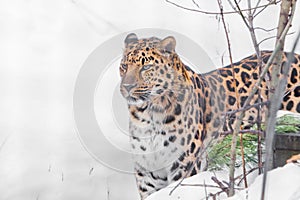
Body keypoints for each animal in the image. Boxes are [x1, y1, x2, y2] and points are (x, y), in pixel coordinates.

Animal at [118, 32, 298, 198]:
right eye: (124, 66)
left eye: (146, 67)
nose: (127, 86)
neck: (148, 114)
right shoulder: (148, 174)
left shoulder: (184, 165)